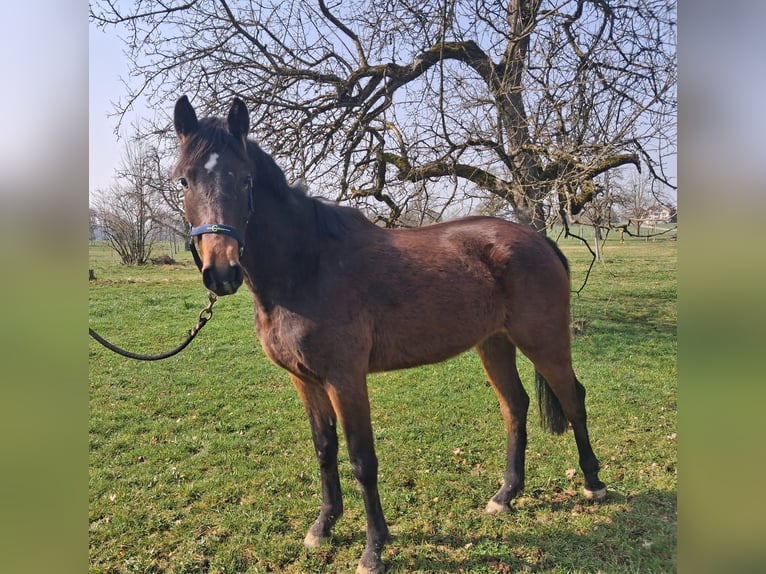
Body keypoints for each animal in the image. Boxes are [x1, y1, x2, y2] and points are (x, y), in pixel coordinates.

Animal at [172, 95, 606, 574]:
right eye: (185, 180)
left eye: (245, 178)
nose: (221, 271)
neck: (307, 268)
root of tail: (538, 239)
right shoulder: (305, 380)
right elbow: (324, 448)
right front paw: (323, 527)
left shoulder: (345, 379)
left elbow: (362, 459)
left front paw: (373, 548)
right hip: (494, 343)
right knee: (515, 406)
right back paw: (506, 495)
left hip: (543, 339)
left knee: (573, 397)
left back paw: (593, 482)